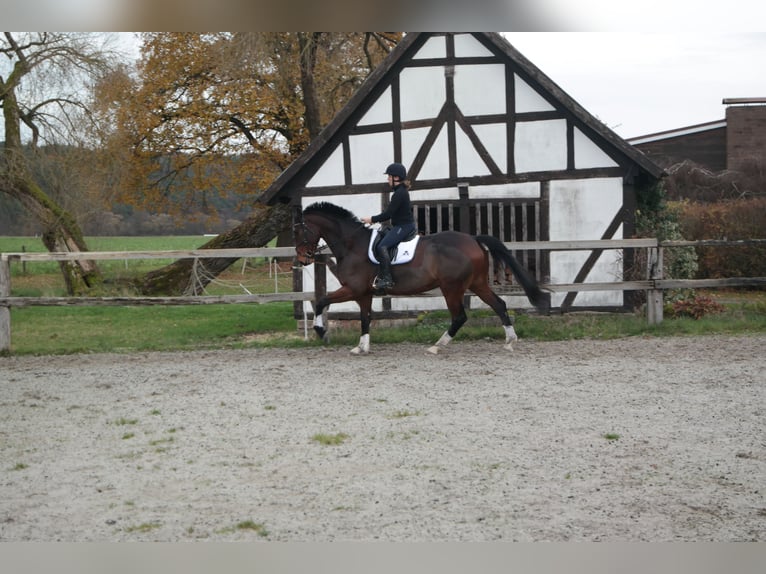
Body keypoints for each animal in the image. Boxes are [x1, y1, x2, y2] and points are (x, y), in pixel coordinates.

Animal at [292, 202, 548, 356]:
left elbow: (322, 301)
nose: (303, 259)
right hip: (477, 284)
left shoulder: (352, 289)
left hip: (451, 288)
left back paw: (437, 346)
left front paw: (321, 331)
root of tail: (473, 239)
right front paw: (361, 347)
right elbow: (365, 318)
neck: (352, 244)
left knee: (460, 316)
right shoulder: (363, 293)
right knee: (499, 304)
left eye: (300, 231)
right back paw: (510, 340)